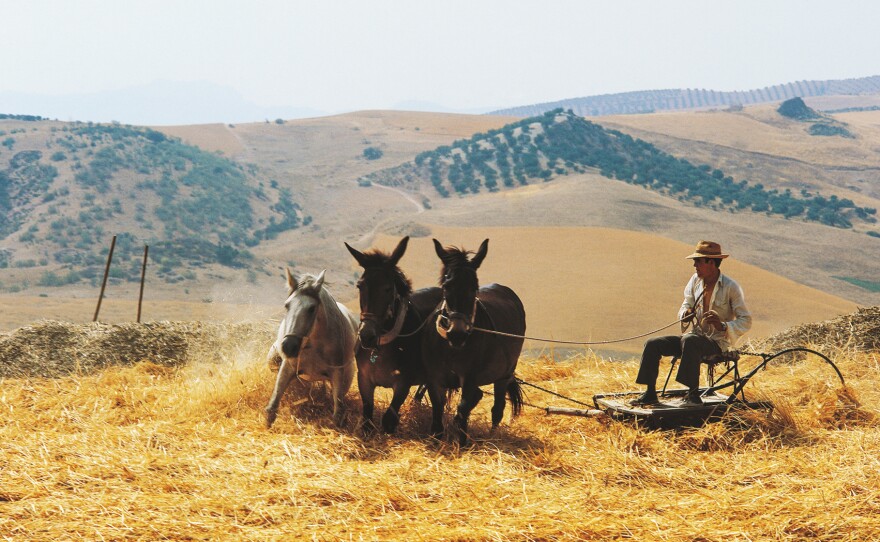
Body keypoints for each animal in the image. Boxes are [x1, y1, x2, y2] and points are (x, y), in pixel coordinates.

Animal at [264, 269, 357, 428]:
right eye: (287, 306)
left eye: (312, 308)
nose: (288, 346)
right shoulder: (288, 367)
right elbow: (273, 405)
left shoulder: (337, 373)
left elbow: (338, 413)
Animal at [344, 236, 449, 434]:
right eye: (360, 286)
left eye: (387, 288)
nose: (367, 336)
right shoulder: (364, 379)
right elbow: (367, 418)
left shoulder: (402, 384)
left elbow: (388, 419)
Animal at [422, 238, 526, 445]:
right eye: (446, 286)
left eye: (474, 287)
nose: (457, 334)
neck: (451, 348)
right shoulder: (434, 378)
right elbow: (437, 412)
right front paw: (437, 440)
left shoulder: (469, 378)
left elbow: (463, 409)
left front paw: (461, 442)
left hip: (504, 374)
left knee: (497, 408)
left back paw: (492, 436)